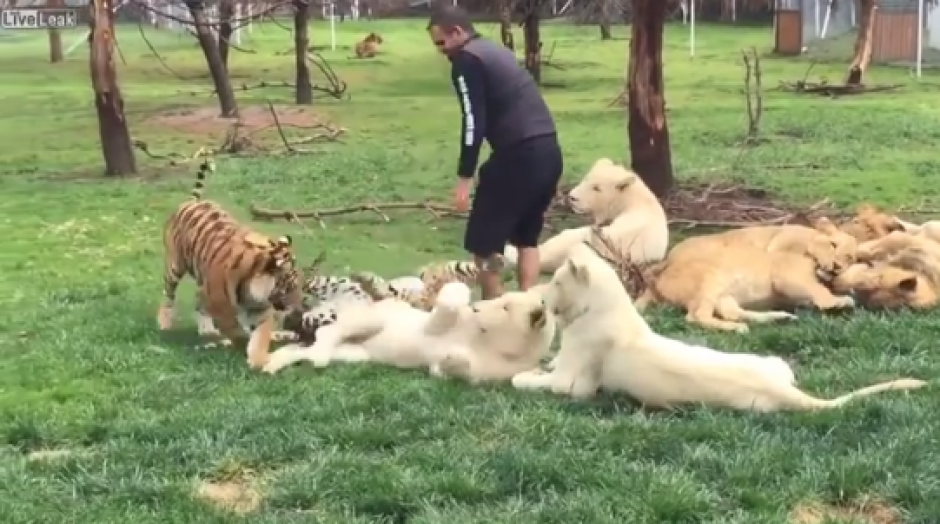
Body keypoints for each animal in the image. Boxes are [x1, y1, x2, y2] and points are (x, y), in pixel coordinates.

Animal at [157, 151, 305, 370]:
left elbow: (260, 336)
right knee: (168, 295)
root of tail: (191, 202)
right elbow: (237, 331)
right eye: (289, 287)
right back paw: (165, 323)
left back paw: (206, 330)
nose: (299, 308)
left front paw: (260, 359)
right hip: (175, 267)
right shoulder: (221, 308)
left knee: (197, 300)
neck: (253, 288)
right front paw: (242, 343)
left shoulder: (260, 310)